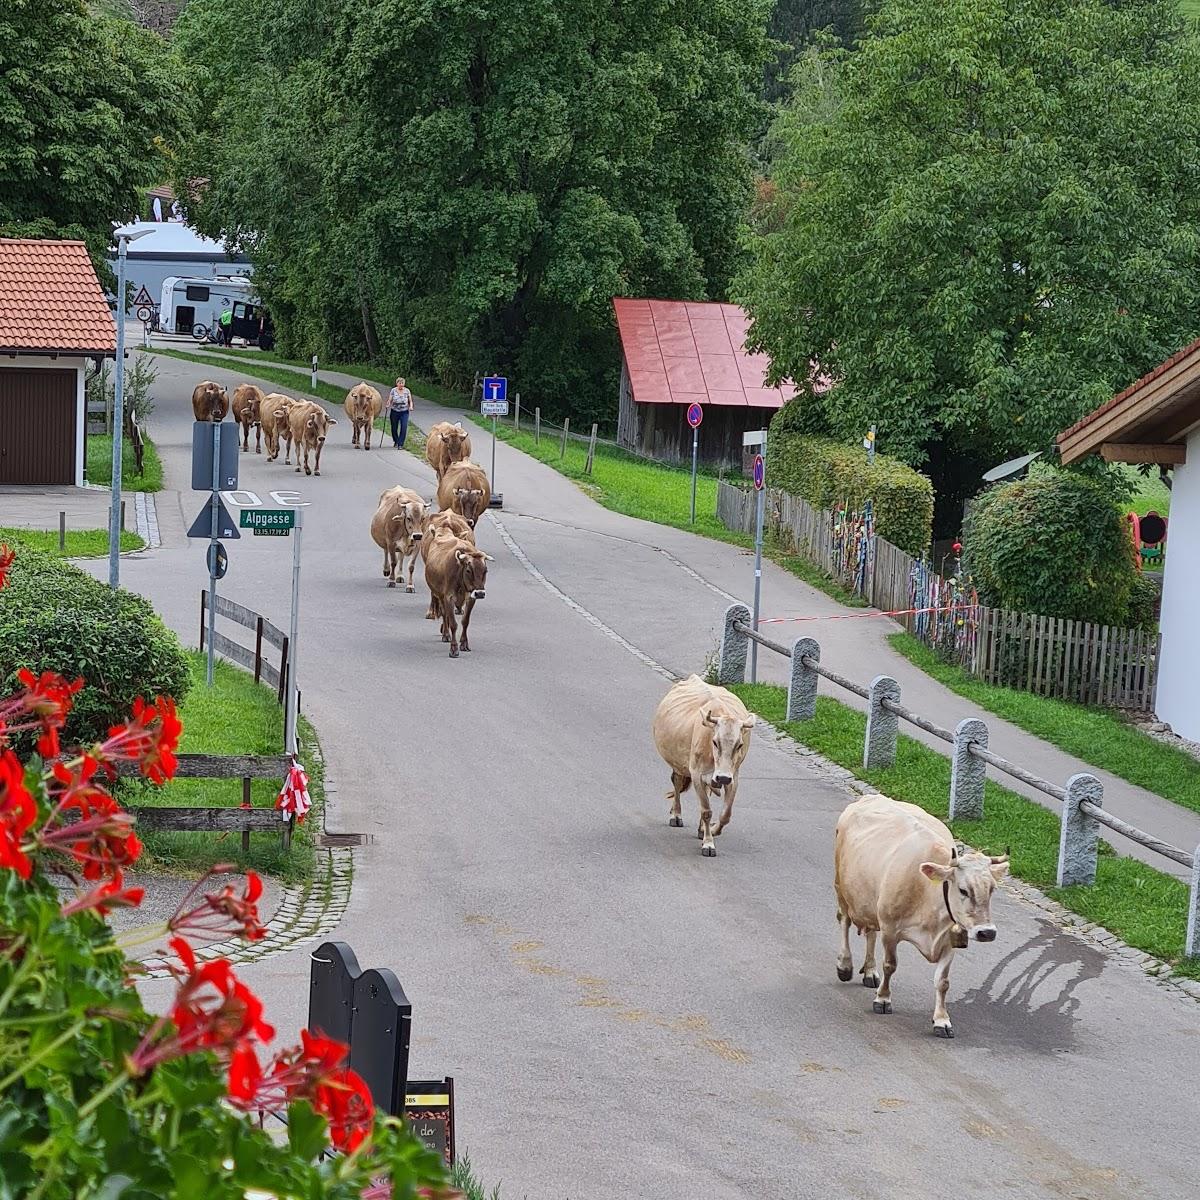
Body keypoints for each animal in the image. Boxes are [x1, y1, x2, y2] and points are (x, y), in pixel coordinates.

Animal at [652, 676, 753, 864]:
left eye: (740, 745)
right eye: (715, 742)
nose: (722, 778)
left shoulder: (733, 777)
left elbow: (726, 814)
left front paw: (711, 831)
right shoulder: (697, 774)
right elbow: (706, 811)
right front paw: (708, 844)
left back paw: (701, 828)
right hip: (680, 764)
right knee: (677, 783)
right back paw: (676, 815)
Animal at [830, 792, 1008, 1036]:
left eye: (992, 889)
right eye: (963, 890)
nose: (987, 932)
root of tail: (872, 796)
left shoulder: (950, 939)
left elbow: (943, 982)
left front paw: (942, 1020)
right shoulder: (890, 929)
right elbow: (890, 965)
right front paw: (883, 999)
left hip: (870, 901)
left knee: (870, 932)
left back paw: (869, 971)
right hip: (842, 889)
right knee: (845, 922)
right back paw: (845, 965)